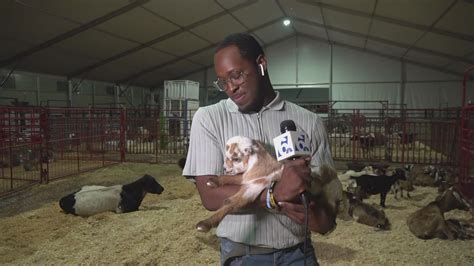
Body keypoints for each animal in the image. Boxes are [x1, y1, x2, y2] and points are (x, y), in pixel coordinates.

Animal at [196, 137, 344, 233]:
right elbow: (235, 179)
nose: (225, 168)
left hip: (330, 193)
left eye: (236, 158)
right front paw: (213, 181)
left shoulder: (255, 186)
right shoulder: (249, 179)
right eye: (226, 156)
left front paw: (204, 224)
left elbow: (231, 202)